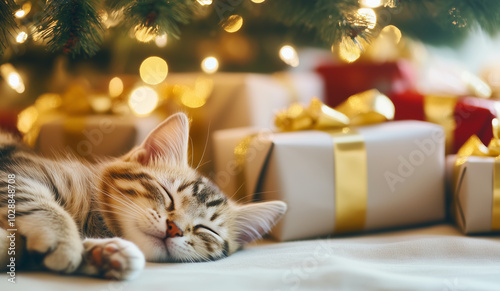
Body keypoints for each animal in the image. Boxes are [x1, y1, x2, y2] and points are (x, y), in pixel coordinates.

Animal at [0, 113, 288, 280]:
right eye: (168, 195)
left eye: (206, 230)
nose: (174, 229)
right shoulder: (15, 173)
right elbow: (37, 202)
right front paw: (65, 239)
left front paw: (106, 253)